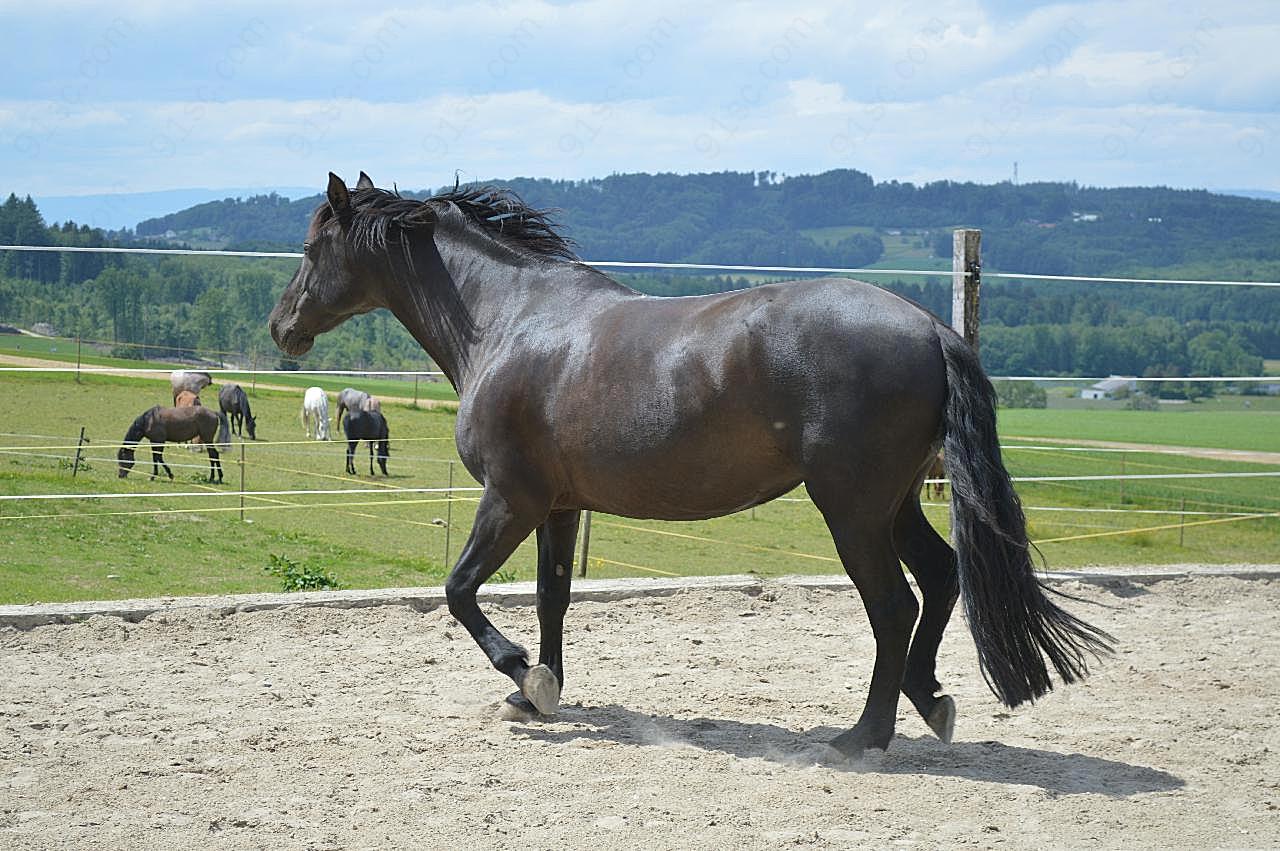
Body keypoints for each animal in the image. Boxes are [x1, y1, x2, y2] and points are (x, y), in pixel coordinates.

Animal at [262, 172, 1111, 757]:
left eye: (311, 248)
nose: (281, 328)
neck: (509, 321)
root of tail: (932, 327)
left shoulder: (511, 498)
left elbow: (460, 589)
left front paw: (523, 675)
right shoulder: (560, 505)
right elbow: (551, 598)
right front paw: (541, 690)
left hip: (852, 508)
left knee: (895, 605)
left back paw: (863, 734)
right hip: (894, 501)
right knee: (940, 576)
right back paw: (929, 699)